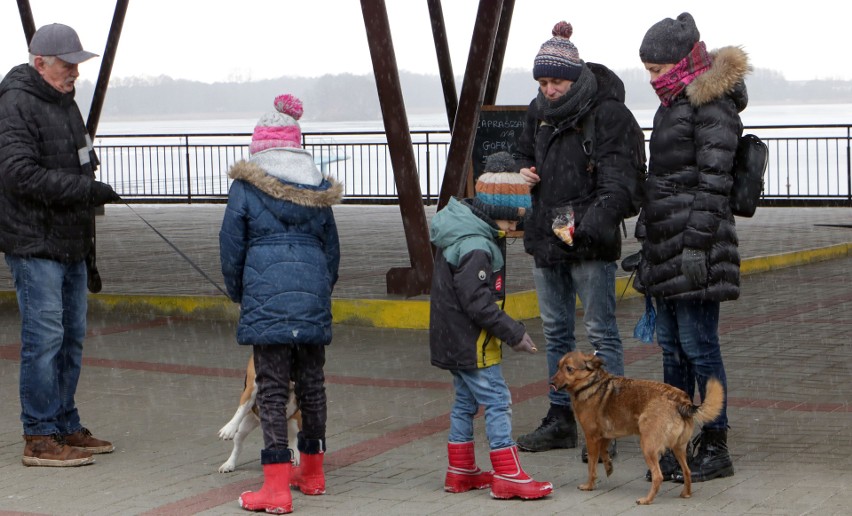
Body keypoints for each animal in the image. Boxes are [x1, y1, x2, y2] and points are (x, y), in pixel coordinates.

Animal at [548, 350, 724, 504]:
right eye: (557, 366)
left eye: (569, 369)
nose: (551, 382)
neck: (591, 383)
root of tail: (680, 400)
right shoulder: (605, 435)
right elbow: (605, 452)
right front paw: (609, 466)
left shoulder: (592, 437)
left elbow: (592, 466)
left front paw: (589, 485)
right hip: (678, 447)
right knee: (687, 471)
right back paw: (685, 493)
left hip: (648, 446)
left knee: (658, 476)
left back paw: (647, 500)